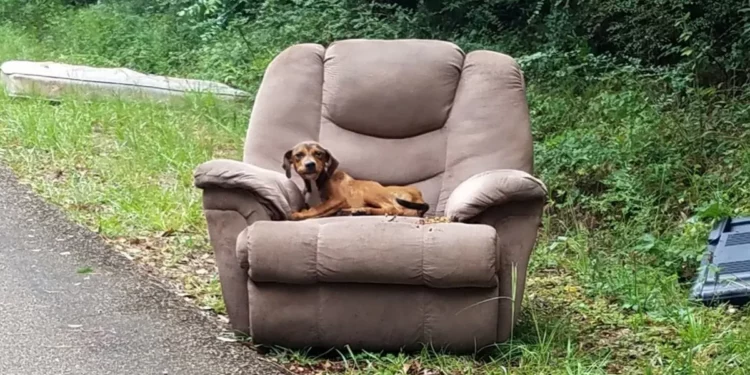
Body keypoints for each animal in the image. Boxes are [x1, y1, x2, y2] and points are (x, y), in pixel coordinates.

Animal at [284, 142, 432, 222]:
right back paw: (356, 211)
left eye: (318, 154)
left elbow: (318, 208)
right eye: (299, 155)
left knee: (393, 209)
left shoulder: (338, 199)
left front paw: (299, 214)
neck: (316, 182)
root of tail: (419, 197)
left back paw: (362, 210)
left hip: (368, 191)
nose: (310, 165)